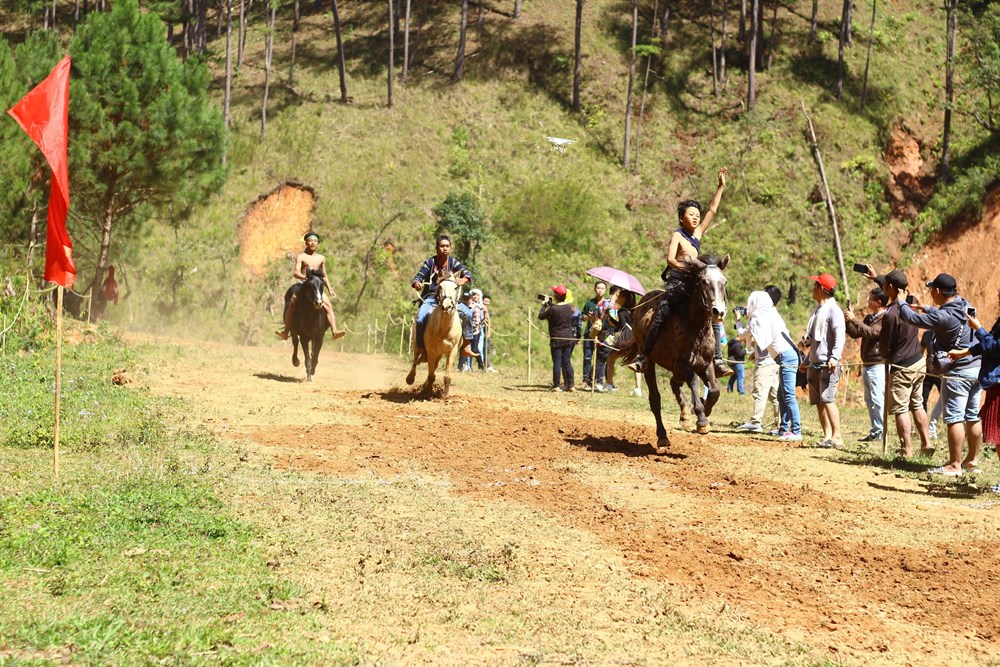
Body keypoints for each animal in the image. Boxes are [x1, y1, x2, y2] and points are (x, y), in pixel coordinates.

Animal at [612, 256, 732, 454]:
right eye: (703, 281)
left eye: (724, 282)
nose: (718, 312)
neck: (697, 327)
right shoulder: (682, 364)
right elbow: (694, 382)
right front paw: (701, 419)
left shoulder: (705, 365)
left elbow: (714, 391)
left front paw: (703, 410)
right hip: (651, 363)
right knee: (655, 399)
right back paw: (663, 436)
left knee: (674, 383)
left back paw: (685, 416)